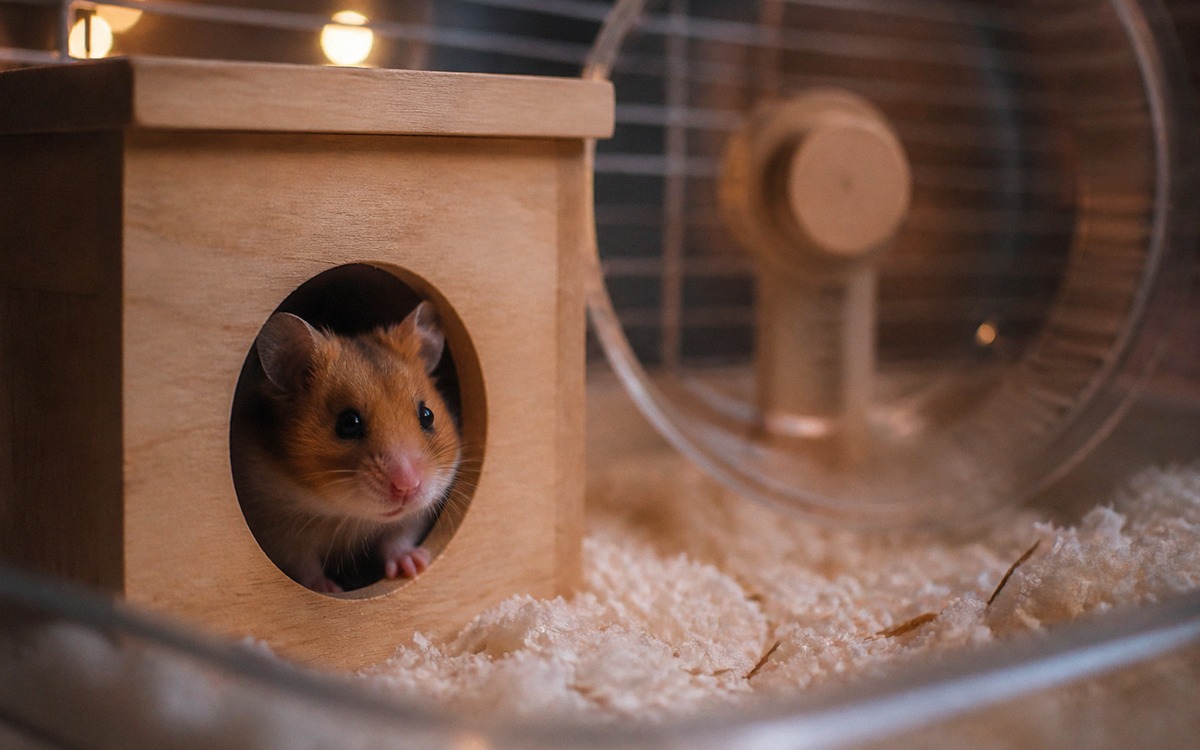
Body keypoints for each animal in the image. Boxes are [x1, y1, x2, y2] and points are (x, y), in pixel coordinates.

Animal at [231, 302, 462, 594]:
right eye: (348, 423)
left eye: (427, 415)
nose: (408, 487)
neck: (345, 514)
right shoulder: (274, 529)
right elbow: (302, 564)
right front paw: (327, 589)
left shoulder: (411, 518)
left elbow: (397, 538)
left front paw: (415, 565)